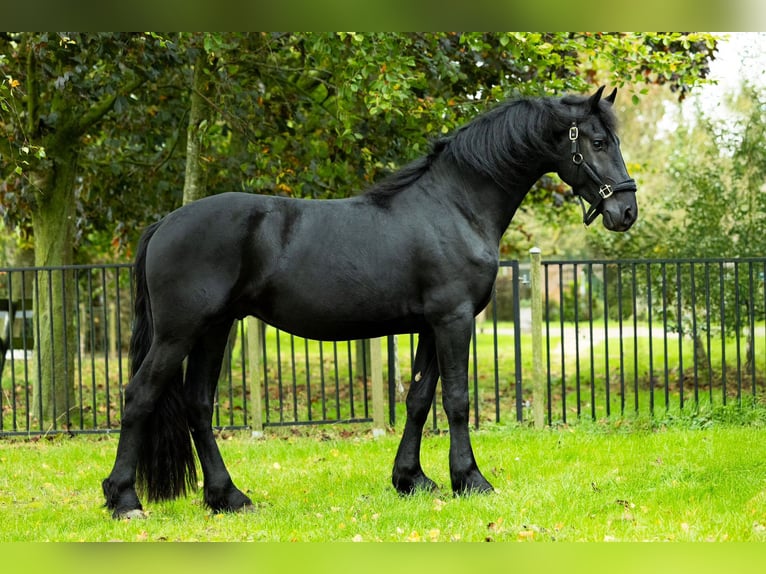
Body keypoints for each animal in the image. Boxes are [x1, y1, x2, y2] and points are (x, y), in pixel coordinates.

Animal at [103, 86, 640, 520]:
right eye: (597, 142)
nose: (627, 210)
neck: (455, 205)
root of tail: (165, 223)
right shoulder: (454, 319)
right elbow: (456, 400)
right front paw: (470, 479)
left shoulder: (429, 325)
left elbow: (419, 399)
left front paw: (412, 480)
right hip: (180, 332)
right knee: (140, 395)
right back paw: (125, 499)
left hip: (216, 329)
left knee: (198, 404)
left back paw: (227, 497)